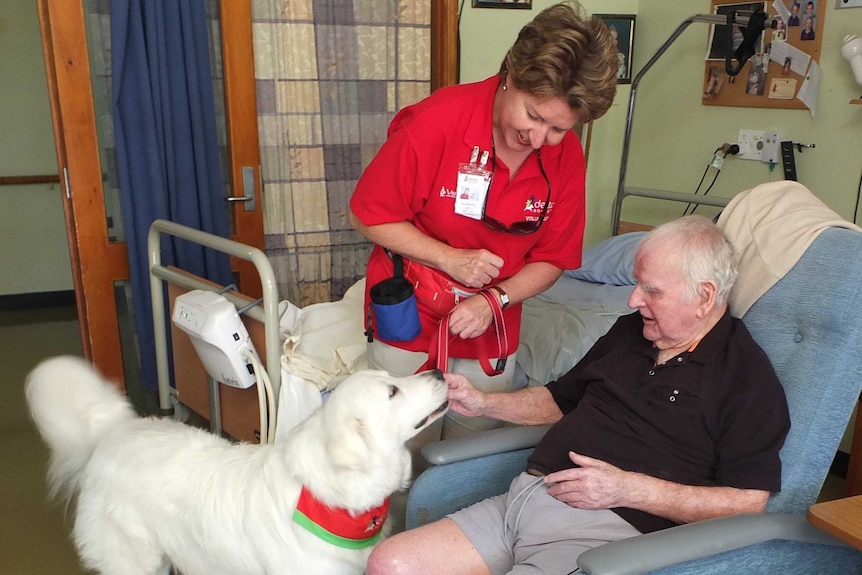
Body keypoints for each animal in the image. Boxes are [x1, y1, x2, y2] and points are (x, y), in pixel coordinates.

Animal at [26, 358, 448, 572]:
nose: (440, 372)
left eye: (391, 377)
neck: (328, 500)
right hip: (137, 562)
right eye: (392, 391)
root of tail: (116, 430)